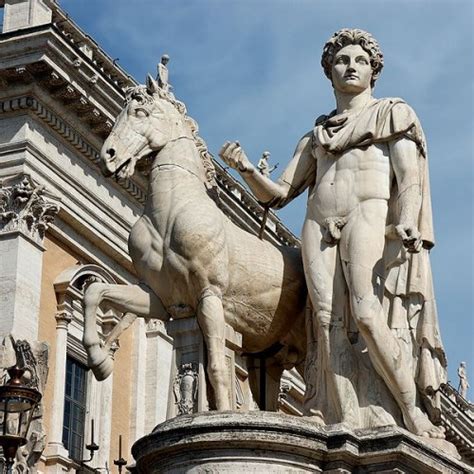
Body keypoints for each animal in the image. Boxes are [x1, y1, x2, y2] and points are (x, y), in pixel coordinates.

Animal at [83, 76, 306, 410]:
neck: (172, 210)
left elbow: (215, 366)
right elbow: (95, 292)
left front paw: (223, 414)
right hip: (272, 355)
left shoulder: (209, 295)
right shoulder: (160, 299)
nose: (108, 155)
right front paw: (99, 358)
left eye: (140, 112)